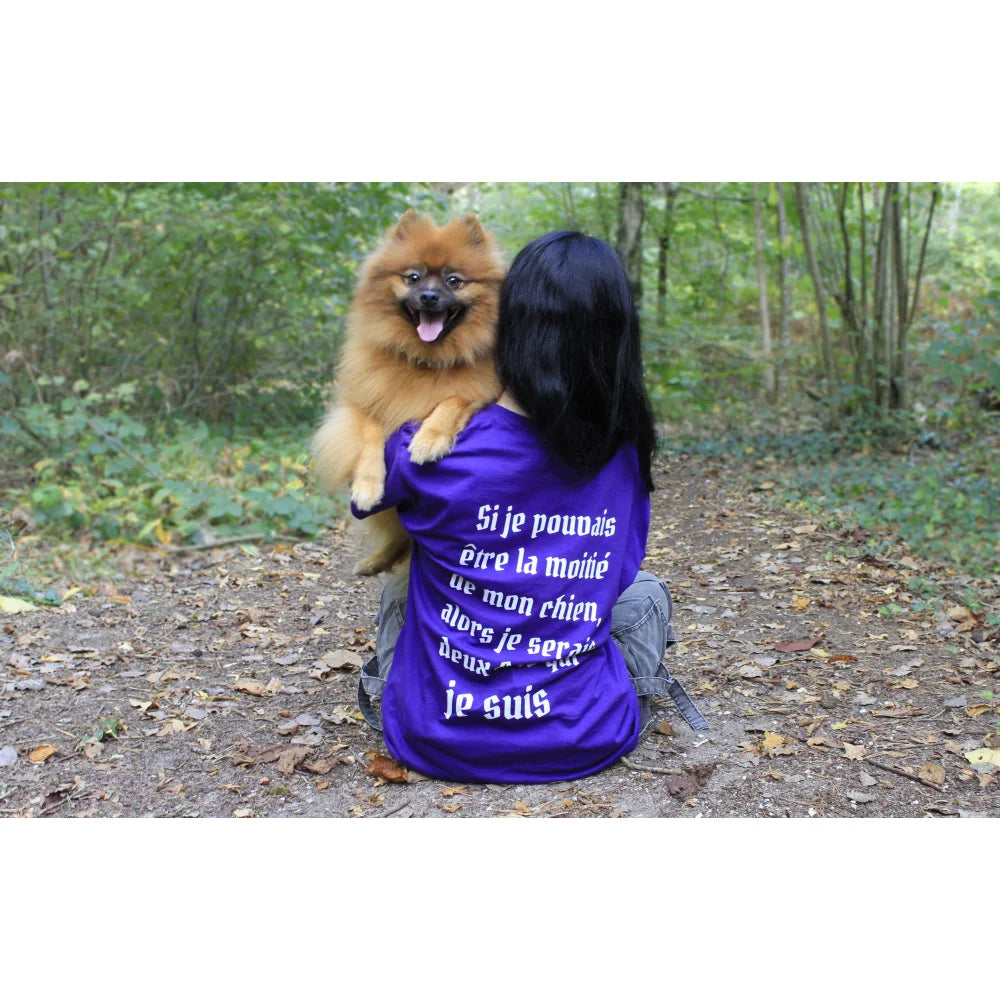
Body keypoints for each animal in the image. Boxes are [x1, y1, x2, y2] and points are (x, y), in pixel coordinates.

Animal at [310, 207, 504, 576]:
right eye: (413, 277)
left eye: (453, 280)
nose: (429, 296)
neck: (425, 361)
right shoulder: (363, 403)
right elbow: (370, 435)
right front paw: (367, 485)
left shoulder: (480, 392)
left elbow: (451, 401)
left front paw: (429, 439)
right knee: (398, 534)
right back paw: (376, 560)